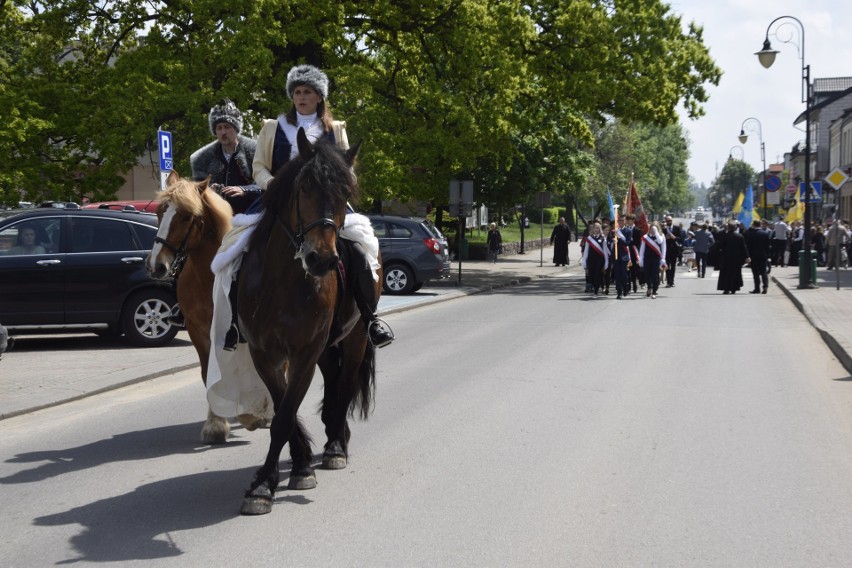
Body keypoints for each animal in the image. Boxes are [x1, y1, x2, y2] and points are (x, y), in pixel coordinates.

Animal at [145, 173, 266, 444]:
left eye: (186, 216)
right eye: (159, 211)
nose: (157, 266)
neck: (209, 277)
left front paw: (251, 415)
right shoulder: (199, 330)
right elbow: (209, 373)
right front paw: (216, 424)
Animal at [236, 127, 376, 516]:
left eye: (346, 193)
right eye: (304, 188)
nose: (321, 259)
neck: (282, 282)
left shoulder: (304, 353)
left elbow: (285, 415)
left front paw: (266, 484)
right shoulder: (265, 353)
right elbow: (283, 408)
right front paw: (289, 469)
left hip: (356, 338)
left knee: (345, 386)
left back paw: (336, 447)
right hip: (328, 348)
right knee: (333, 384)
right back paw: (331, 436)